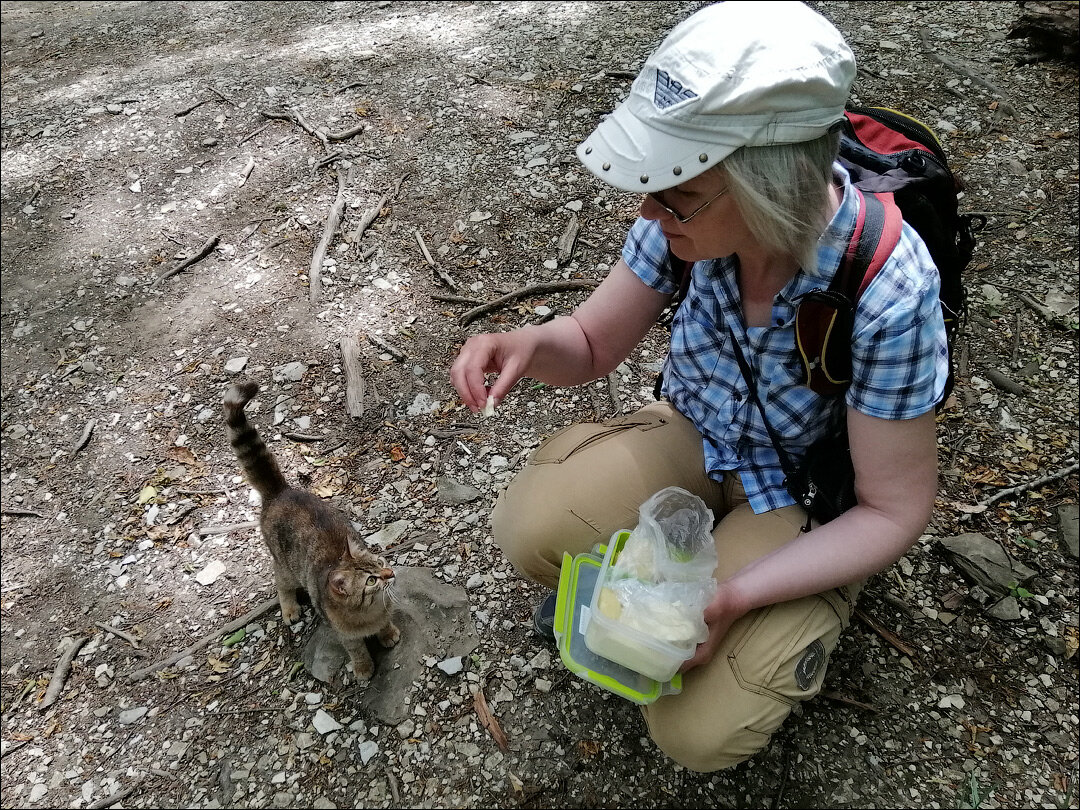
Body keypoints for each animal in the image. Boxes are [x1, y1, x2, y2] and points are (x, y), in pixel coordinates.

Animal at [223, 380, 401, 678]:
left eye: (380, 562)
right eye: (371, 581)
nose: (390, 573)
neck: (370, 612)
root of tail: (280, 491)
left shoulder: (385, 612)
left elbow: (386, 624)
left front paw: (388, 635)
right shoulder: (344, 635)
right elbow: (357, 651)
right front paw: (364, 668)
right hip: (285, 565)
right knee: (280, 583)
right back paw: (290, 609)